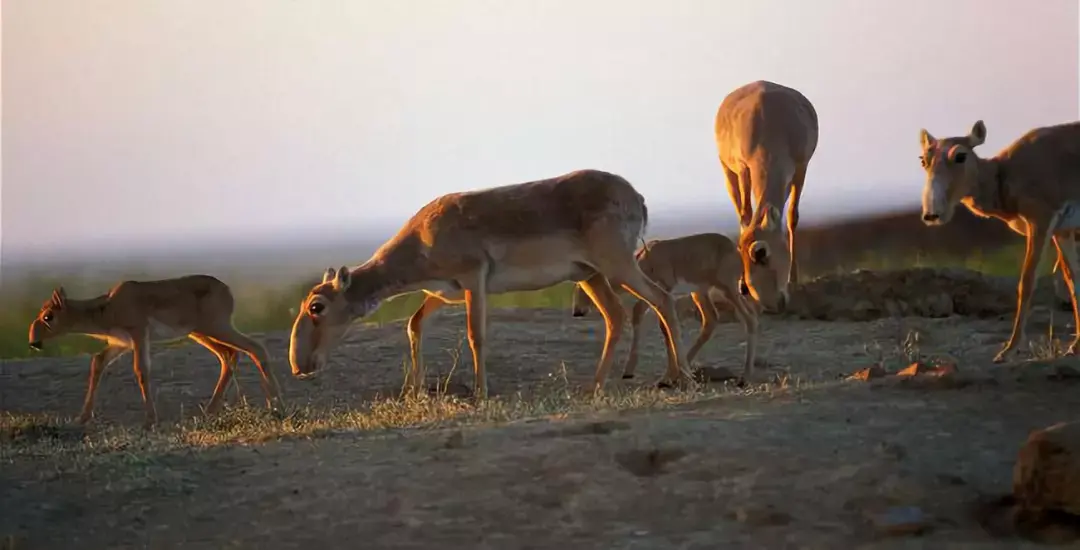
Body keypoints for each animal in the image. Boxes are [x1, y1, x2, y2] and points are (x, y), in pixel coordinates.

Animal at [27, 276, 285, 425]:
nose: (33, 341)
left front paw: (151, 419)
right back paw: (211, 409)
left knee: (256, 348)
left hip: (216, 327)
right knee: (229, 355)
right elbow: (97, 361)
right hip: (200, 332)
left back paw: (276, 406)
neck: (106, 308)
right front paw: (82, 417)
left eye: (48, 316)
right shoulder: (120, 343)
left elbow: (141, 369)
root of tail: (227, 289)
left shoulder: (139, 333)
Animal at [287, 169, 691, 397]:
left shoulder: (473, 279)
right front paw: (415, 391)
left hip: (616, 264)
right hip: (590, 274)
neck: (423, 239)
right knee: (617, 316)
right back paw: (597, 385)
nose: (298, 365)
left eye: (317, 307)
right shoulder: (443, 291)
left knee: (662, 300)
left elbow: (475, 334)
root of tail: (636, 196)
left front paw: (480, 393)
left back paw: (679, 377)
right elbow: (414, 324)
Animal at [565, 231, 760, 378]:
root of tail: (735, 248)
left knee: (749, 317)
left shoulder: (664, 290)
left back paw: (744, 377)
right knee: (711, 319)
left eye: (580, 288)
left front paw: (667, 376)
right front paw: (630, 371)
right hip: (700, 292)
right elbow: (641, 316)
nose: (577, 311)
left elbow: (663, 325)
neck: (647, 256)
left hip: (728, 289)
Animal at [717, 78, 816, 311]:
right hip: (727, 171)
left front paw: (793, 279)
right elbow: (745, 216)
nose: (773, 305)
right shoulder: (743, 167)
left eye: (762, 253)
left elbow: (792, 216)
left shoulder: (801, 167)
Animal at [915, 117, 1080, 363]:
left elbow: (1026, 281)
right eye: (924, 160)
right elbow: (1073, 279)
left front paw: (1008, 349)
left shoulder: (1040, 221)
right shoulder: (1062, 231)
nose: (932, 215)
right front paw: (1076, 345)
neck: (1003, 174)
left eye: (960, 155)